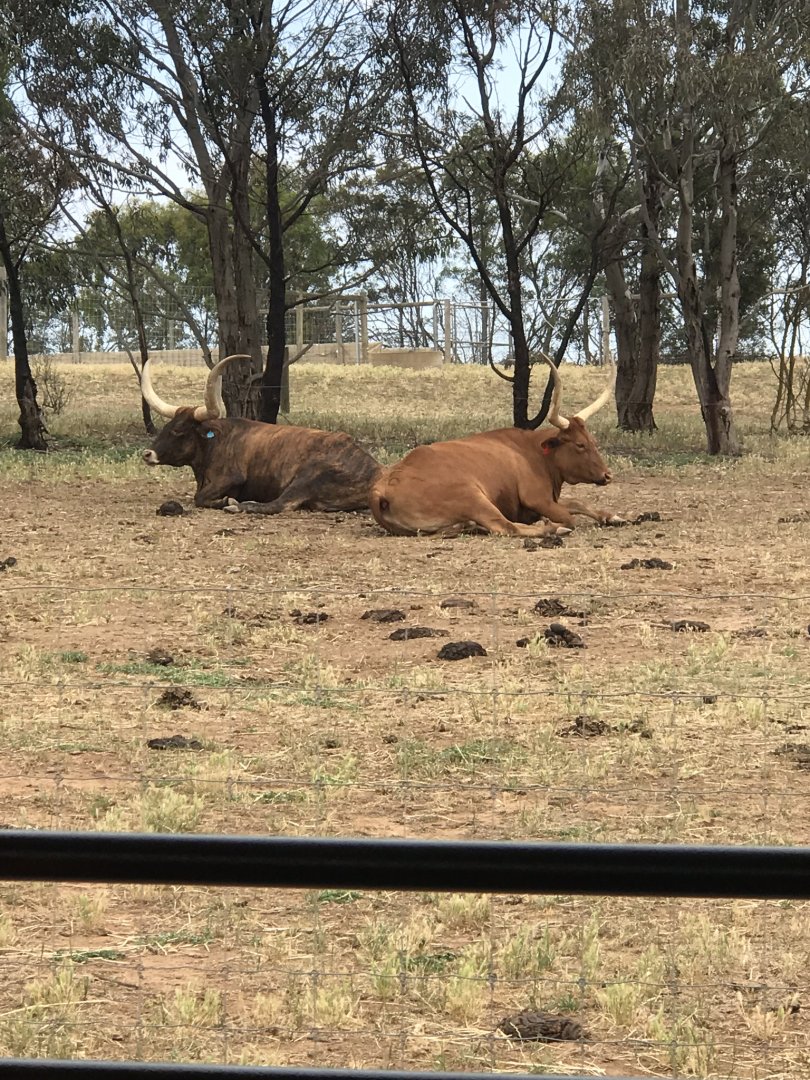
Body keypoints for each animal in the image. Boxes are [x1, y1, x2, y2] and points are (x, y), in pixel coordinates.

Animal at [140, 354, 381, 514]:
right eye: (167, 426)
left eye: (178, 430)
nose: (147, 454)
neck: (214, 442)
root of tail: (375, 471)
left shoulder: (231, 477)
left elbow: (199, 497)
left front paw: (226, 502)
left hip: (308, 475)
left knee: (281, 504)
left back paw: (240, 507)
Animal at [370, 355, 625, 538]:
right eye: (580, 445)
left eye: (593, 442)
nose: (607, 475)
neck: (534, 453)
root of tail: (384, 487)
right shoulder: (537, 499)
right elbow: (568, 515)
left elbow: (578, 502)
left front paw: (612, 517)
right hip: (474, 497)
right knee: (505, 526)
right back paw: (551, 529)